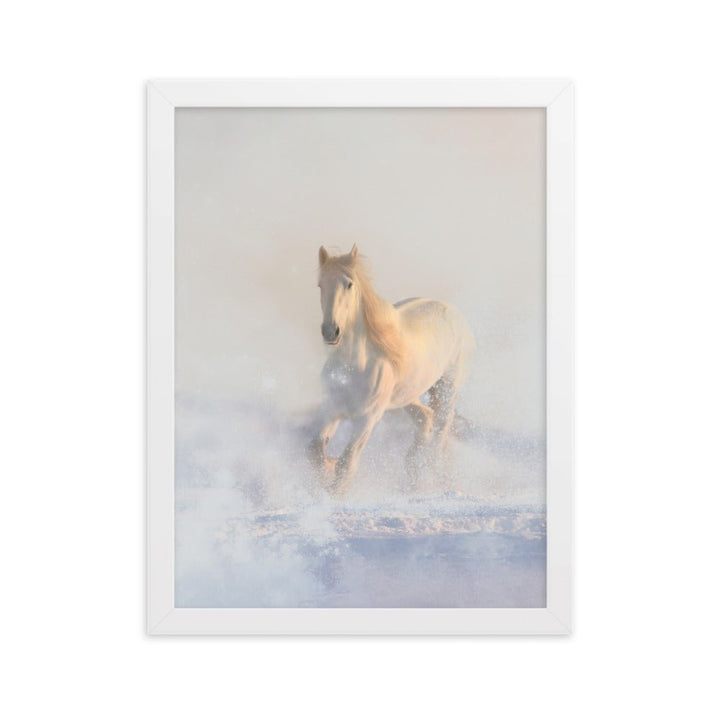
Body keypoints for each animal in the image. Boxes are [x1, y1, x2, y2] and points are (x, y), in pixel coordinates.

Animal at [307, 244, 475, 493]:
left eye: (349, 284)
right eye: (320, 285)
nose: (330, 331)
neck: (354, 366)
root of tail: (454, 312)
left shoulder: (367, 418)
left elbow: (347, 464)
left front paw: (334, 493)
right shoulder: (332, 408)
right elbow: (315, 451)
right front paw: (327, 470)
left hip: (447, 389)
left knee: (440, 432)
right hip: (408, 396)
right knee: (426, 419)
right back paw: (413, 473)